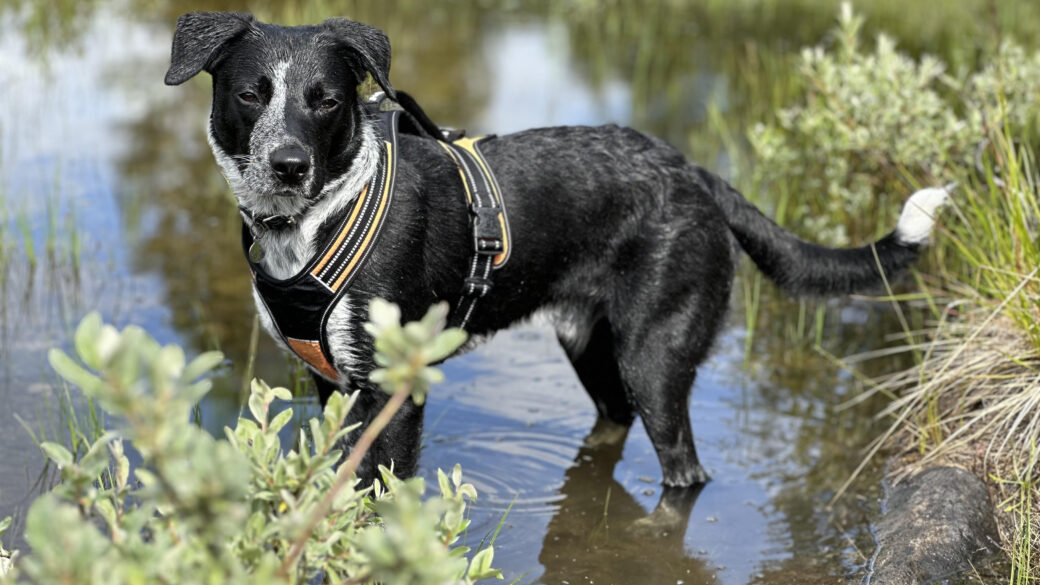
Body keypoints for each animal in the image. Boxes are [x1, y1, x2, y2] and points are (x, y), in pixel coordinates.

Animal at [164, 12, 952, 487]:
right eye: (250, 95)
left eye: (326, 100)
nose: (288, 164)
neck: (318, 220)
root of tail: (695, 174)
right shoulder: (331, 384)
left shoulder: (399, 391)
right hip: (587, 344)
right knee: (614, 421)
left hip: (654, 357)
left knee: (683, 469)